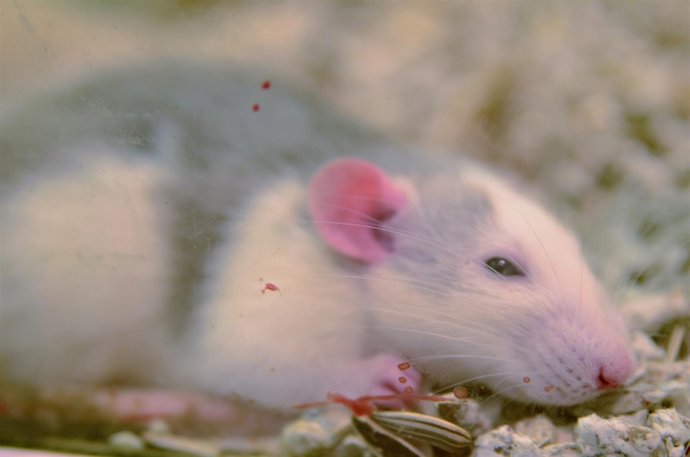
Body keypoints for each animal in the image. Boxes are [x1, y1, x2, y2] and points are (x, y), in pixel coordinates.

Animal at [0, 61, 635, 410]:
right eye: (502, 267)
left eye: (580, 251)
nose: (621, 370)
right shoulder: (285, 279)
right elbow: (252, 359)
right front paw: (376, 375)